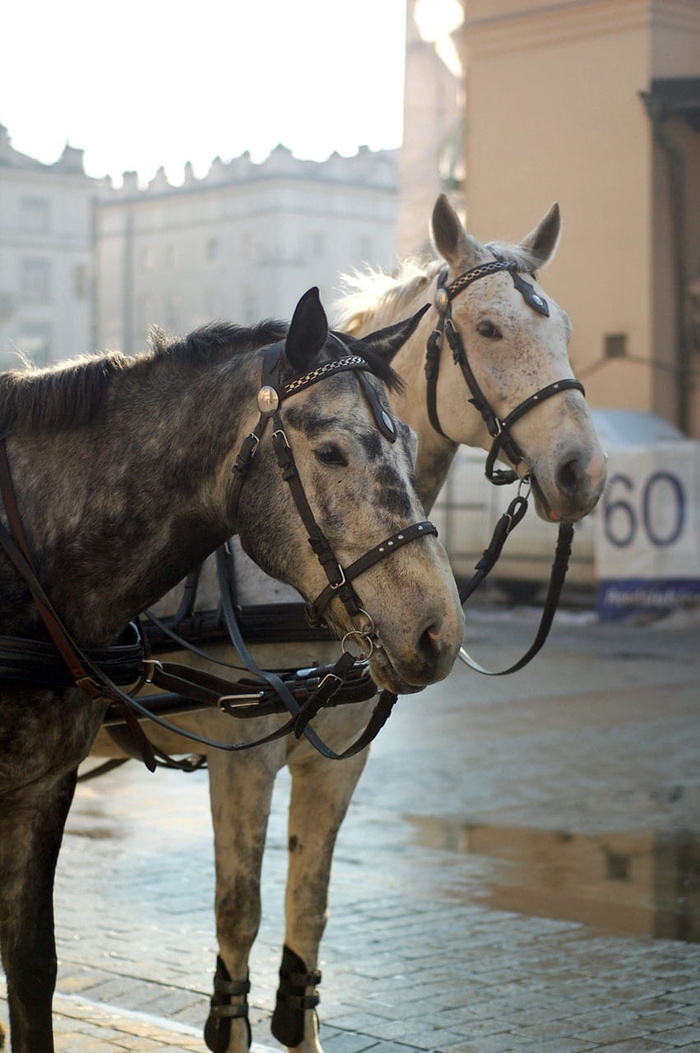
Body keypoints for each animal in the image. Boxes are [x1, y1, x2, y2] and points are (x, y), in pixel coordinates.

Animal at [0, 288, 463, 1053]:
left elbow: (33, 968)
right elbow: (239, 909)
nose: (438, 631)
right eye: (330, 451)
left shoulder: (43, 786)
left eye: (407, 442)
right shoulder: (242, 759)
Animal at [80, 191, 606, 1053]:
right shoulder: (242, 759)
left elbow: (309, 908)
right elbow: (239, 917)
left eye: (561, 325)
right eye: (488, 327)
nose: (582, 471)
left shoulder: (337, 761)